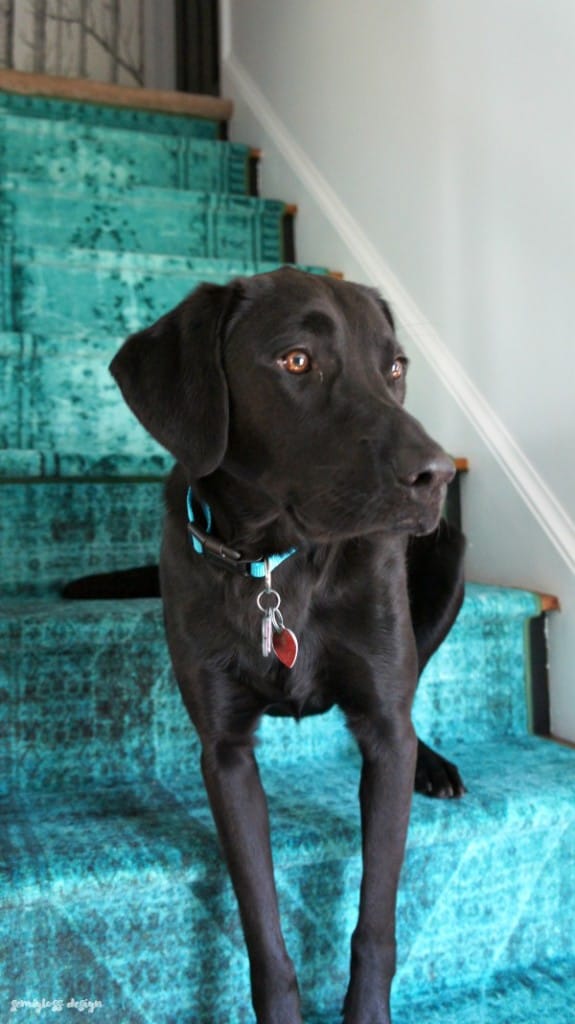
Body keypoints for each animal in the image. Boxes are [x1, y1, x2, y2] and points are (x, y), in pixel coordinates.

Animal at [98, 268, 462, 1019]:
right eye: (296, 360)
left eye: (395, 368)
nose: (437, 475)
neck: (275, 560)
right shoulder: (225, 754)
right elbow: (261, 926)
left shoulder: (383, 728)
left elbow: (375, 924)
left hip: (451, 564)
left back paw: (433, 764)